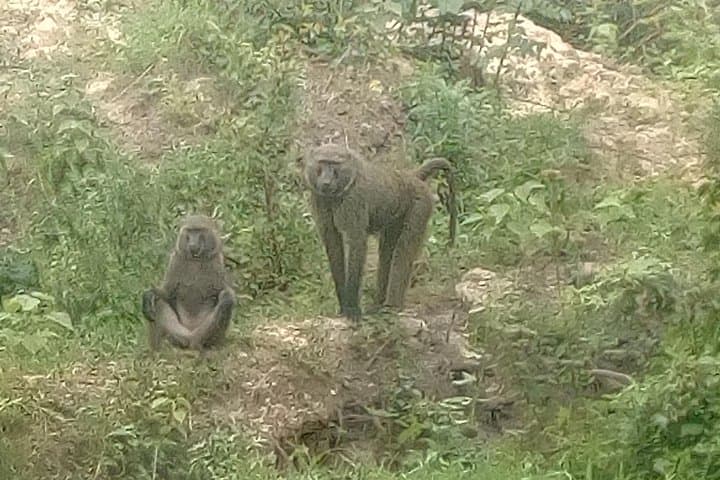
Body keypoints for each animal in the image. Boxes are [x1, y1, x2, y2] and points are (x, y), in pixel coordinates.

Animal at [141, 214, 236, 351]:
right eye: (190, 231)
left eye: (199, 231)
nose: (192, 244)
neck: (195, 260)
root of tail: (190, 337)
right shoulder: (175, 260)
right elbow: (167, 293)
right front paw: (148, 295)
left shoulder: (217, 263)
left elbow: (225, 293)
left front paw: (227, 296)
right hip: (178, 331)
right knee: (158, 302)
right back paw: (158, 350)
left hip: (201, 331)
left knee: (225, 303)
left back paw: (206, 345)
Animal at [299, 143, 456, 321]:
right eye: (322, 163)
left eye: (334, 164)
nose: (326, 182)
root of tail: (412, 176)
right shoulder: (319, 197)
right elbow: (333, 243)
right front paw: (343, 306)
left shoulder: (355, 199)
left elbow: (356, 242)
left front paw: (352, 309)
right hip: (395, 215)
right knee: (387, 252)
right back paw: (378, 304)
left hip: (420, 205)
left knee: (403, 250)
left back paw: (392, 307)